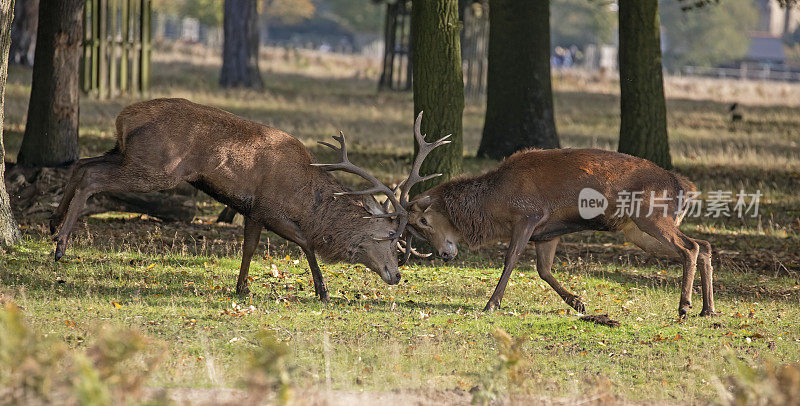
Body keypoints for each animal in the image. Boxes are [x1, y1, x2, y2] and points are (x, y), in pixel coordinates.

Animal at [50, 99, 446, 298]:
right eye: (390, 239)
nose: (397, 276)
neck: (306, 200)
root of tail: (124, 116)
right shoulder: (270, 207)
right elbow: (304, 243)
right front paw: (322, 290)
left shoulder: (251, 210)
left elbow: (249, 247)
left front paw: (241, 287)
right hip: (157, 167)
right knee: (93, 178)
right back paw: (61, 245)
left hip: (125, 152)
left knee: (82, 164)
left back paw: (54, 223)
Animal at [410, 145, 716, 318]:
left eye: (423, 221)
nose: (444, 255)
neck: (496, 206)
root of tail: (685, 187)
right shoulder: (547, 233)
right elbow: (543, 270)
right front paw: (578, 303)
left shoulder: (528, 215)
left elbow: (511, 260)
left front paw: (491, 304)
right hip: (638, 231)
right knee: (704, 244)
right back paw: (707, 309)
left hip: (652, 216)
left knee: (690, 247)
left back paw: (685, 306)